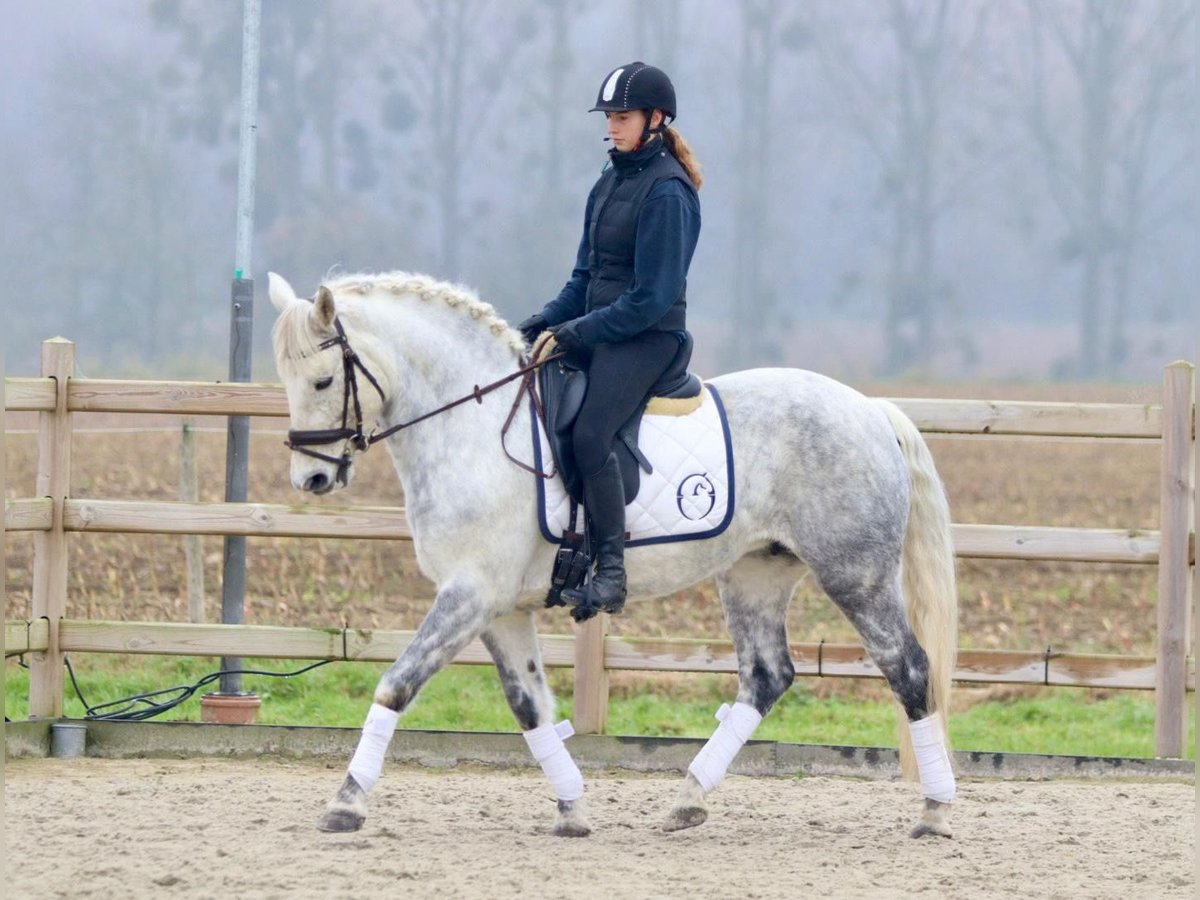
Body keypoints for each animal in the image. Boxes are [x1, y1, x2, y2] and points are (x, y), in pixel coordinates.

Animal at [270, 271, 955, 844]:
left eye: (324, 381)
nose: (310, 479)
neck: (473, 428)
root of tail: (871, 410)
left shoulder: (470, 595)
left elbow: (396, 684)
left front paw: (346, 803)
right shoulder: (499, 608)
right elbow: (530, 705)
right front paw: (572, 809)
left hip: (855, 574)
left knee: (908, 669)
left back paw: (935, 812)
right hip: (756, 571)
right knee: (767, 676)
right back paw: (687, 800)